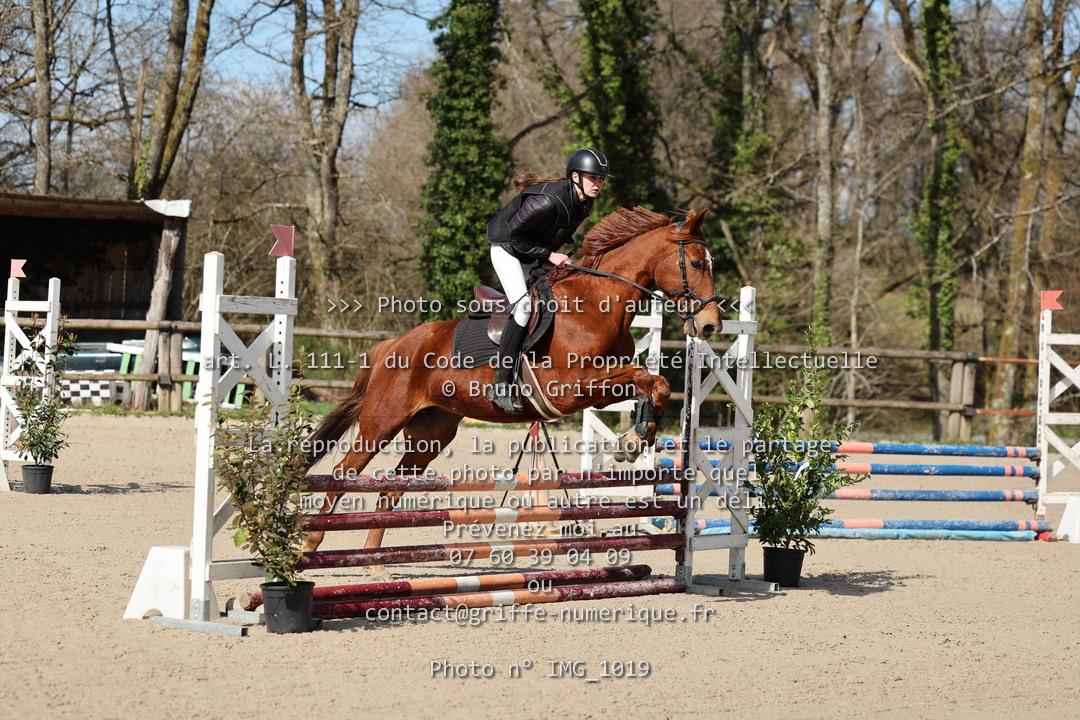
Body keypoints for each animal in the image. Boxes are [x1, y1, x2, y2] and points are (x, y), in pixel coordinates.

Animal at [301, 206, 722, 559]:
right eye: (696, 263)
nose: (710, 326)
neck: (596, 304)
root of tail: (391, 345)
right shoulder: (569, 391)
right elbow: (644, 378)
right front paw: (633, 441)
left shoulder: (601, 391)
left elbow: (654, 382)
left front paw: (635, 439)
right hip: (381, 423)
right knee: (342, 475)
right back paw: (311, 544)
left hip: (429, 435)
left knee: (391, 488)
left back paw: (375, 562)